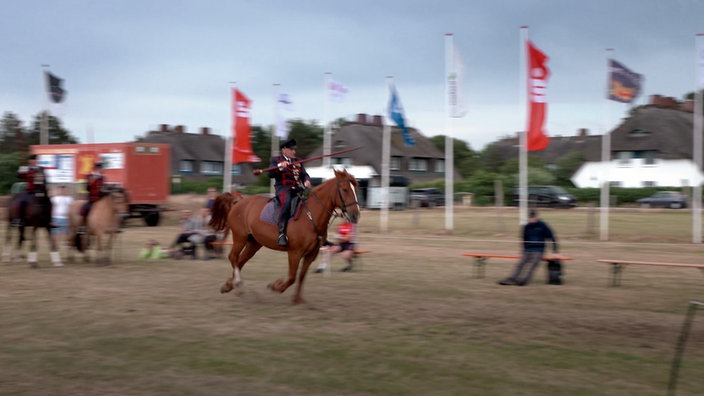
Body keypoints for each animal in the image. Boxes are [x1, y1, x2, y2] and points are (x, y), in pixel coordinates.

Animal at [210, 168, 360, 304]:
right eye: (345, 189)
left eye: (355, 189)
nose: (355, 215)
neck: (310, 216)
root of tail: (239, 201)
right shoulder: (295, 252)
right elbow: (292, 277)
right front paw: (276, 286)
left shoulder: (311, 255)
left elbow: (301, 276)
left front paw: (298, 299)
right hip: (239, 238)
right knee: (233, 257)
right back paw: (237, 284)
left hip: (254, 243)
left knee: (240, 261)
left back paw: (229, 286)